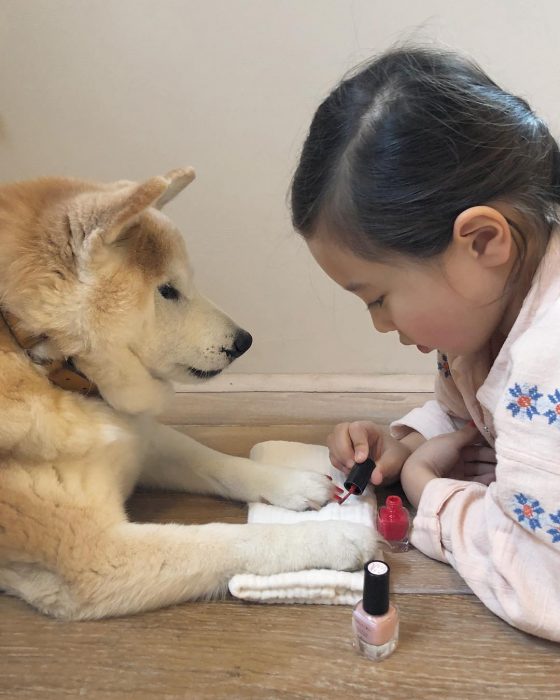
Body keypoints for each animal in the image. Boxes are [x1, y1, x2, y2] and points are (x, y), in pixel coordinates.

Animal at [0, 170, 378, 616]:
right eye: (168, 291)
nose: (244, 341)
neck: (50, 361)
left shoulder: (140, 439)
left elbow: (217, 462)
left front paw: (295, 484)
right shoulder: (95, 556)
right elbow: (228, 537)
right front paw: (332, 537)